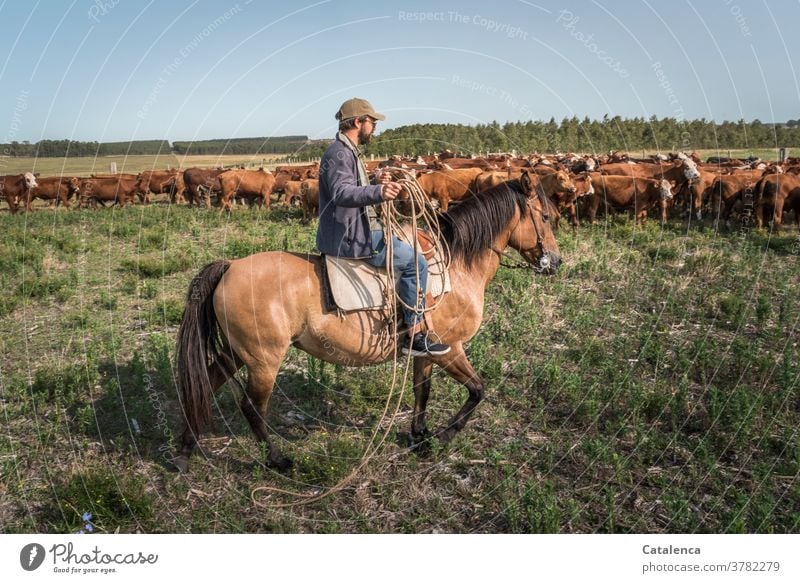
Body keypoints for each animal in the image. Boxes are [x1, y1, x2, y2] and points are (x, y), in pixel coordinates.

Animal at [175, 170, 564, 474]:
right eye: (545, 217)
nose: (556, 262)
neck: (456, 264)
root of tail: (230, 267)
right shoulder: (451, 349)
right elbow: (478, 390)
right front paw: (445, 435)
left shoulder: (428, 351)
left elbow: (422, 391)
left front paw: (420, 436)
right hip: (263, 360)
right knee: (252, 407)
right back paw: (277, 460)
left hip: (238, 352)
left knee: (206, 382)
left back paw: (186, 447)